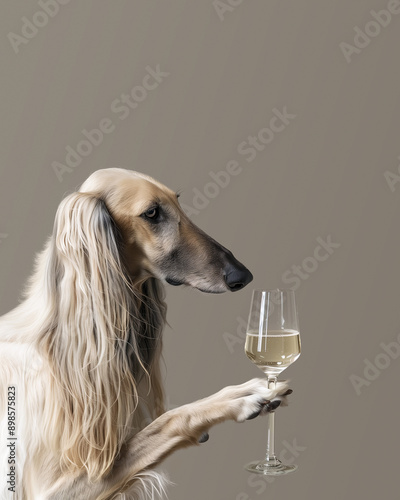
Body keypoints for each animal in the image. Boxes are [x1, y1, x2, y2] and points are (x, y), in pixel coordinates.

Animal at [0, 170, 290, 498]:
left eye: (178, 202)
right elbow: (170, 420)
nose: (242, 275)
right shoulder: (49, 486)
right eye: (152, 213)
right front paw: (241, 399)